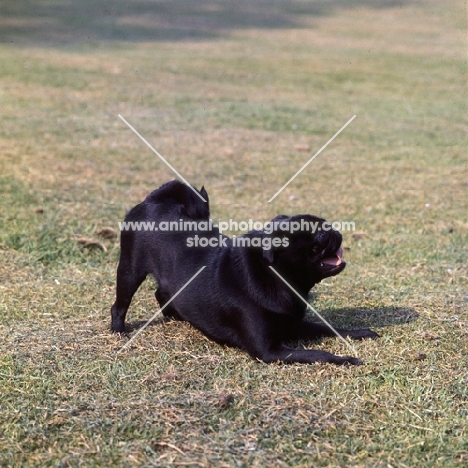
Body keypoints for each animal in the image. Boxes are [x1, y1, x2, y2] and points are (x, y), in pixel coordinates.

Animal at [111, 180, 378, 366]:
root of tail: (154, 201)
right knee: (120, 304)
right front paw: (345, 359)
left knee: (162, 293)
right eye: (319, 240)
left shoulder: (294, 326)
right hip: (130, 271)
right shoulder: (268, 351)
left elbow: (329, 329)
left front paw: (359, 333)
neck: (277, 278)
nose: (334, 231)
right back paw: (118, 330)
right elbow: (318, 354)